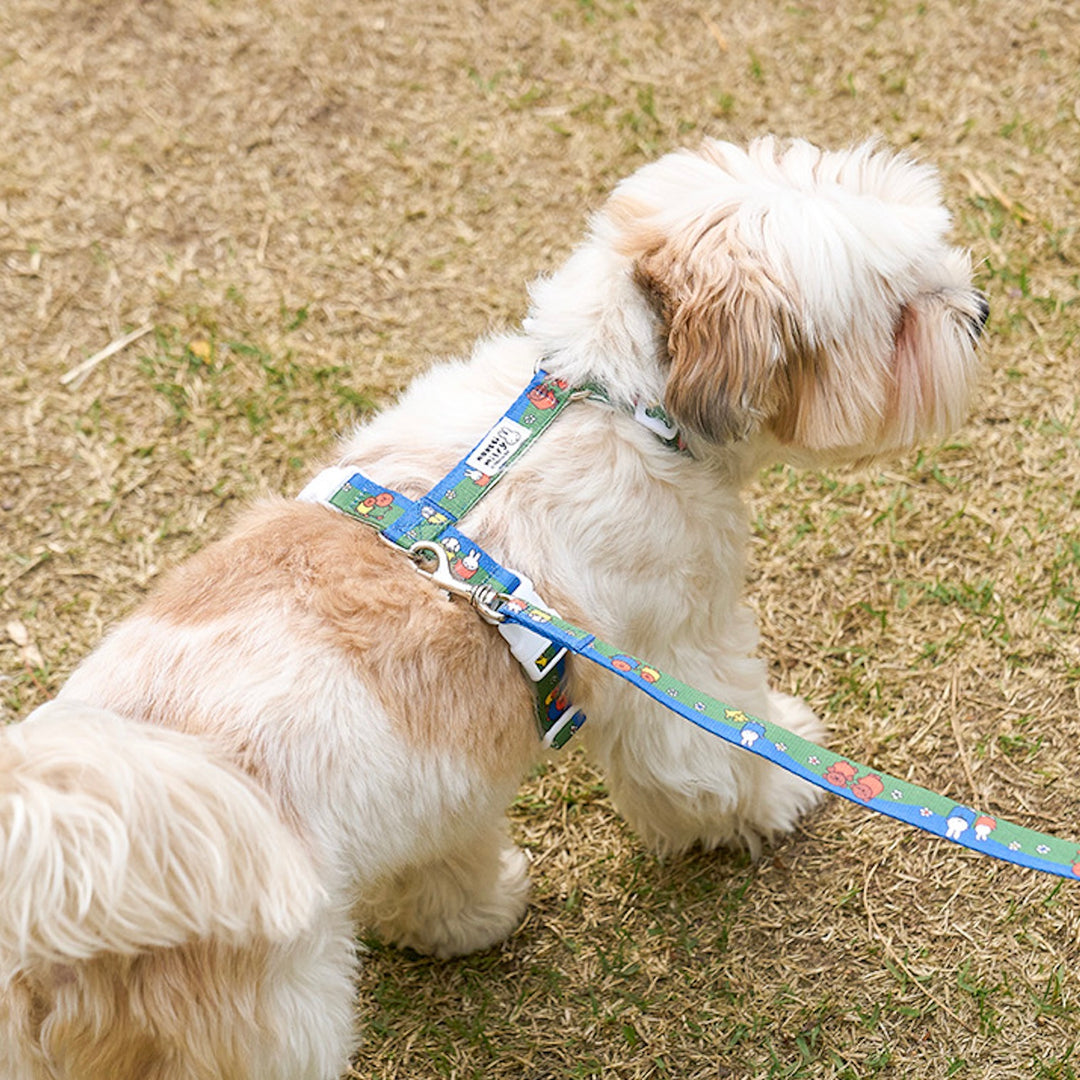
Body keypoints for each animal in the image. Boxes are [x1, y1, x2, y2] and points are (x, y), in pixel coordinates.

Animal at [0, 136, 986, 1079]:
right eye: (901, 314)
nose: (977, 311)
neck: (616, 400)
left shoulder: (435, 792)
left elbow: (441, 860)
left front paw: (463, 919)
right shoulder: (671, 657)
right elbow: (714, 754)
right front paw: (783, 783)